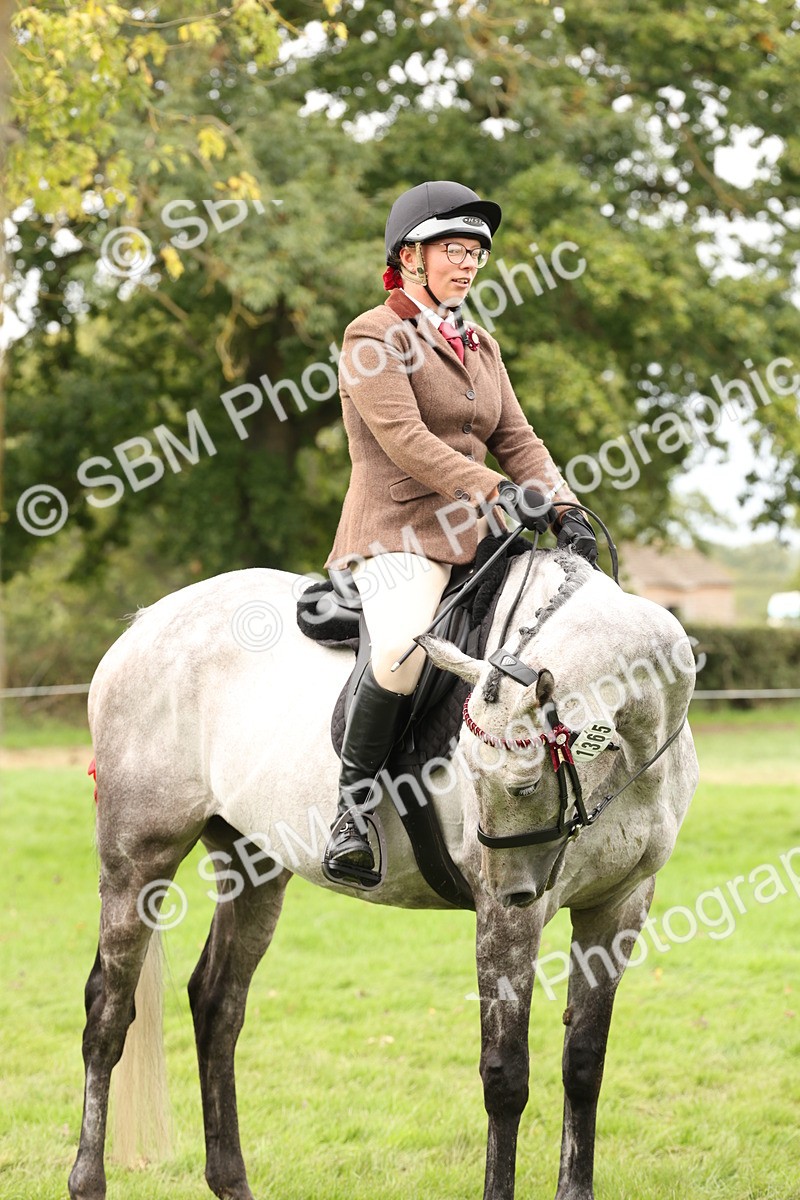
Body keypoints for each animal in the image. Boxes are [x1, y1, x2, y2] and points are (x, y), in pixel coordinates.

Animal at [68, 547, 699, 1200]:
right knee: (107, 1011)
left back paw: (232, 1181)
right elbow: (506, 1078)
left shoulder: (619, 905)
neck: (628, 758)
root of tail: (145, 625)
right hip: (138, 858)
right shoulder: (507, 924)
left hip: (254, 866)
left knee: (217, 1005)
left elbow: (584, 1064)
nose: (513, 890)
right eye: (469, 772)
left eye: (524, 785)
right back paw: (87, 1180)